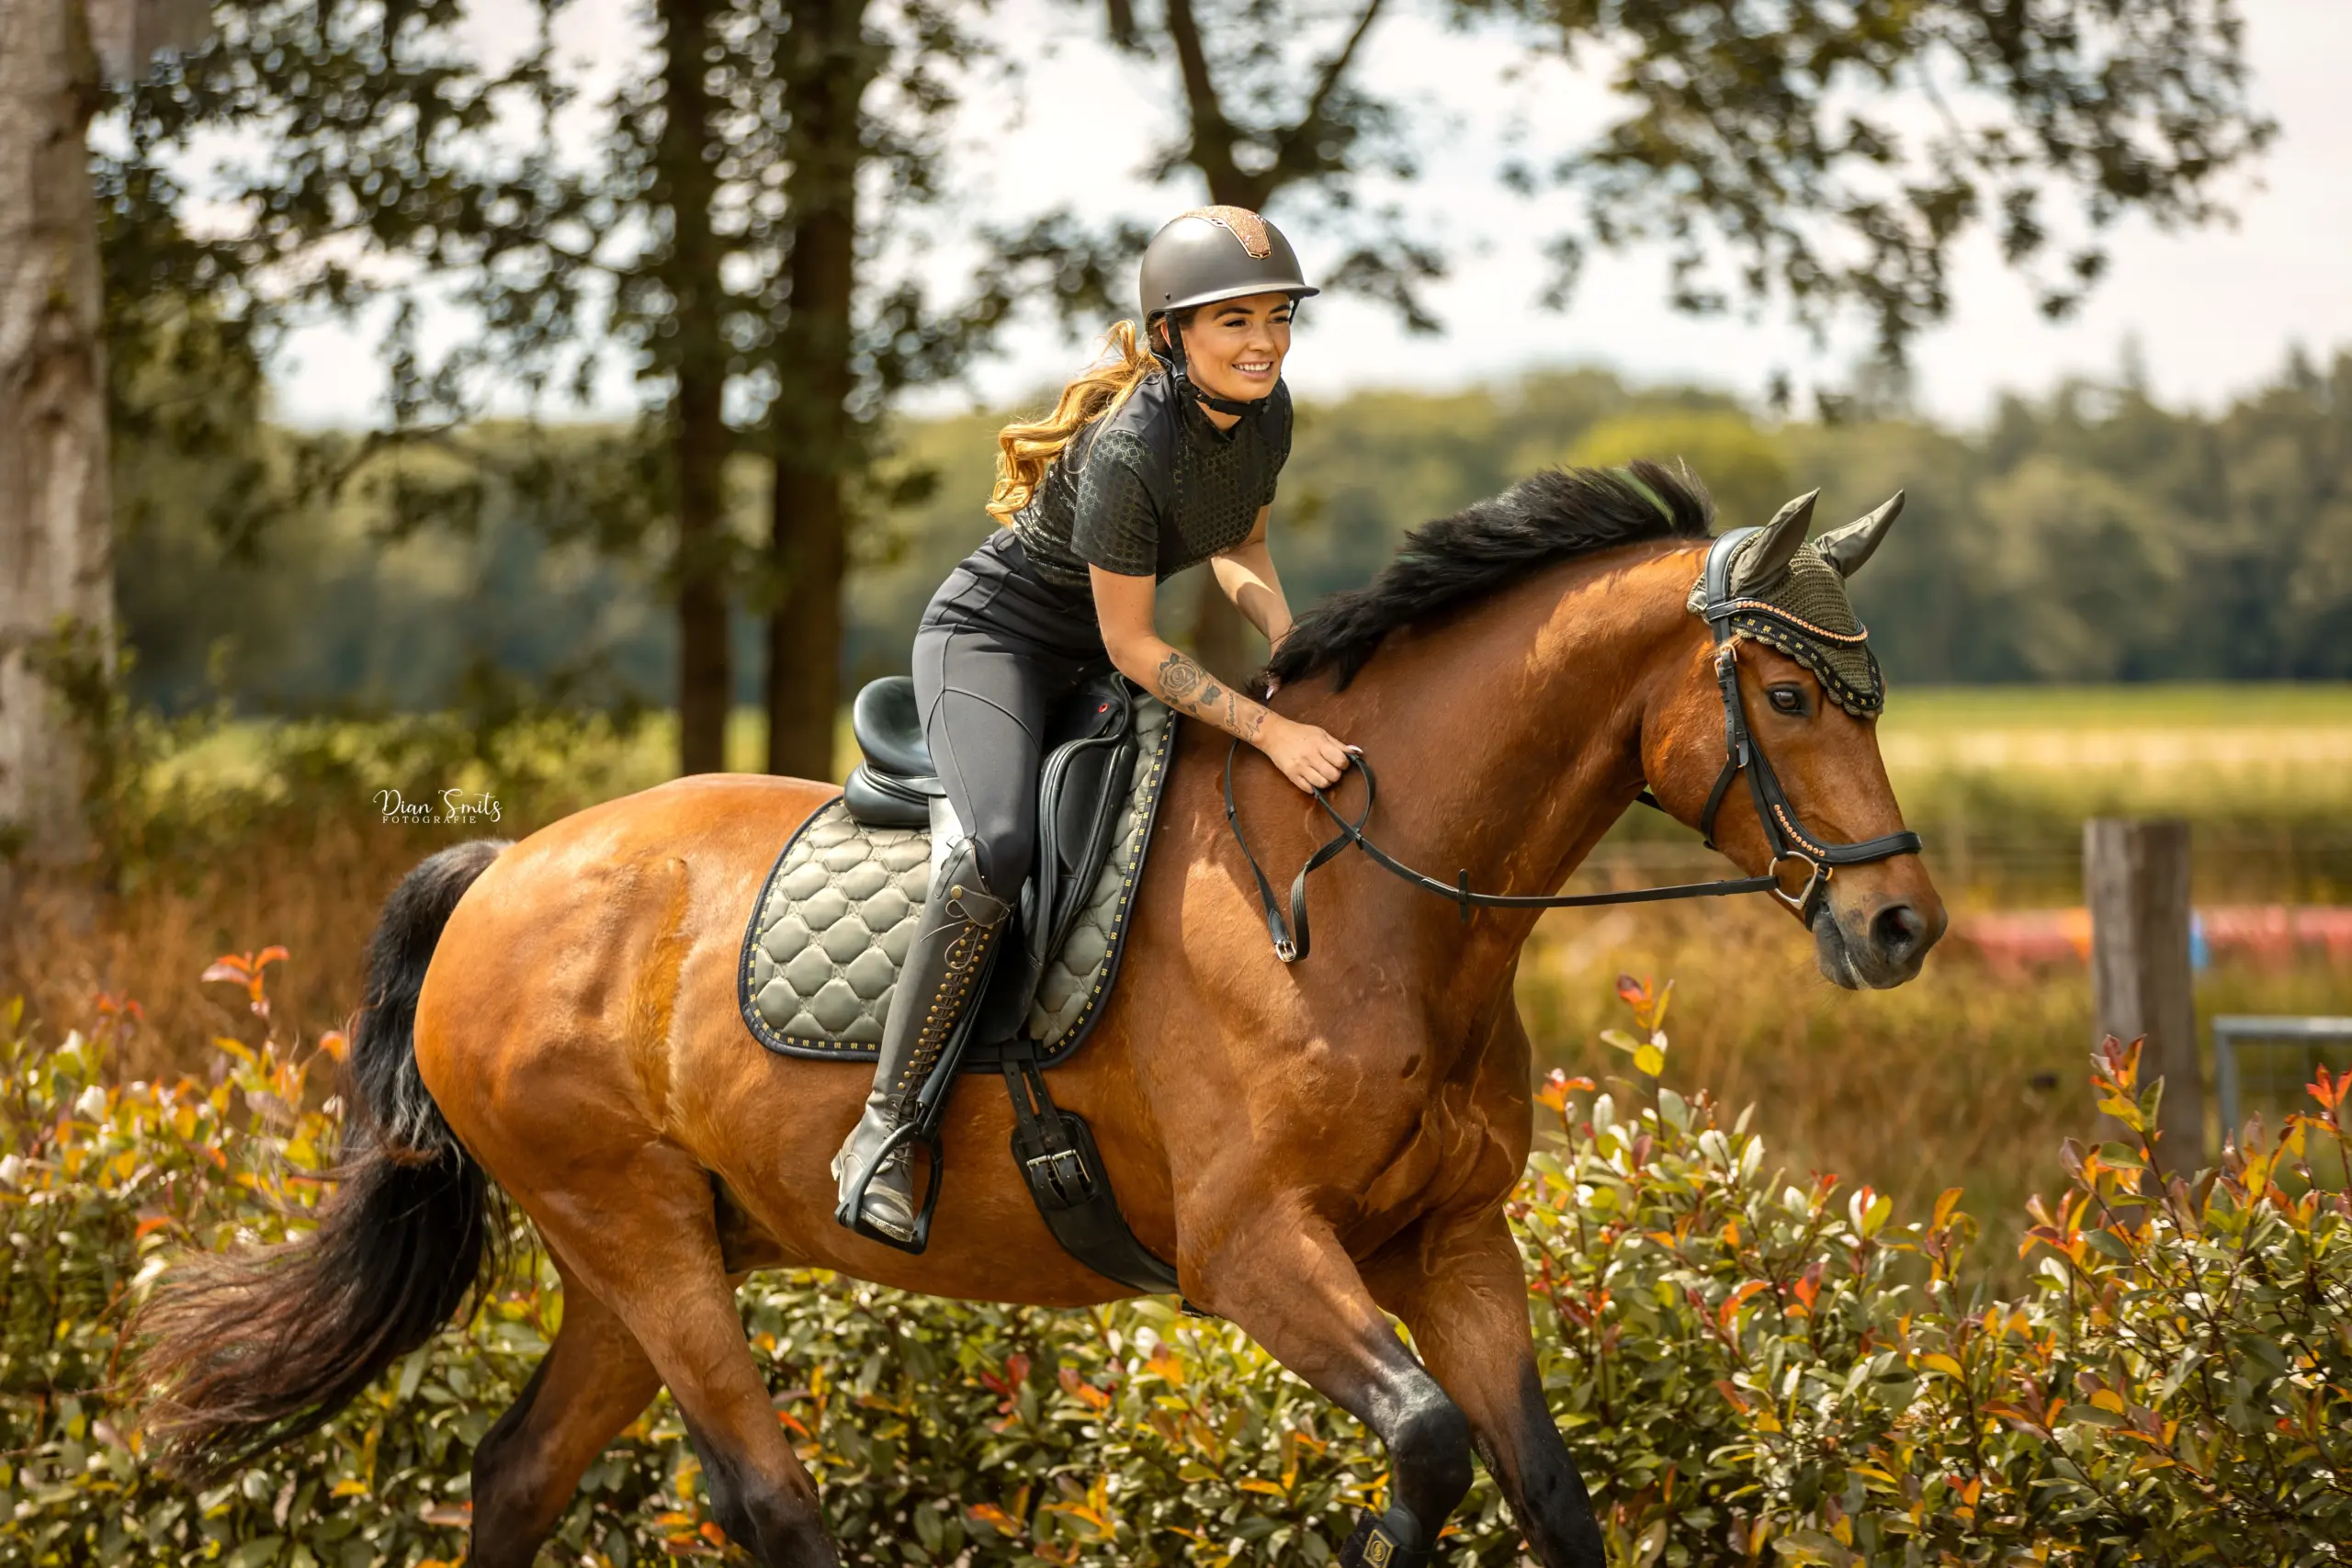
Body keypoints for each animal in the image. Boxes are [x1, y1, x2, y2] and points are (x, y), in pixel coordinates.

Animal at [141, 465, 1947, 1568]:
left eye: (1872, 694)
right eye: (1793, 694)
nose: (1902, 925)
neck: (1375, 901)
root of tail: (506, 865)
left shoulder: (1451, 1244)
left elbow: (1545, 1486)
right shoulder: (1253, 1248)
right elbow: (1430, 1446)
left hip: (641, 1249)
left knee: (521, 1469)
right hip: (631, 1225)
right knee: (768, 1496)